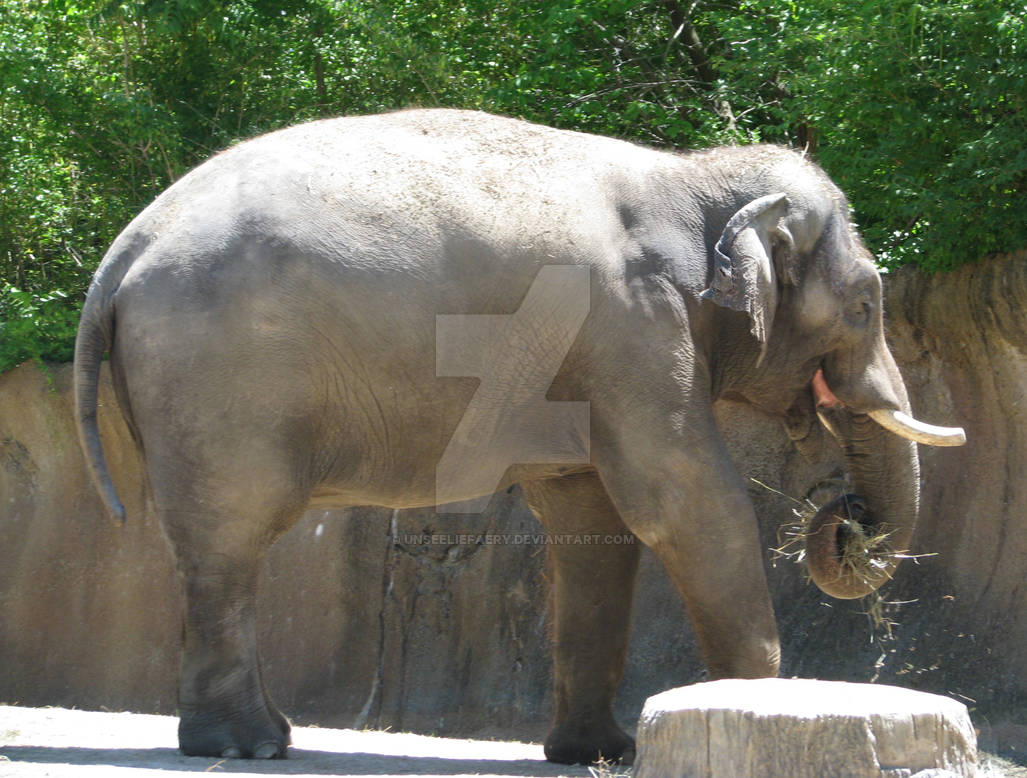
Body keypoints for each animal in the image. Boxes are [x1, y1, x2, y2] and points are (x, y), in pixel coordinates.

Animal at [74, 109, 965, 765]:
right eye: (863, 305)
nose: (845, 517)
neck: (695, 176)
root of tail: (123, 249)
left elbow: (593, 522)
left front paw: (595, 755)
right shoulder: (633, 328)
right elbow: (683, 500)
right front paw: (749, 702)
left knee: (215, 547)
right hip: (217, 377)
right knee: (230, 537)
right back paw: (248, 746)